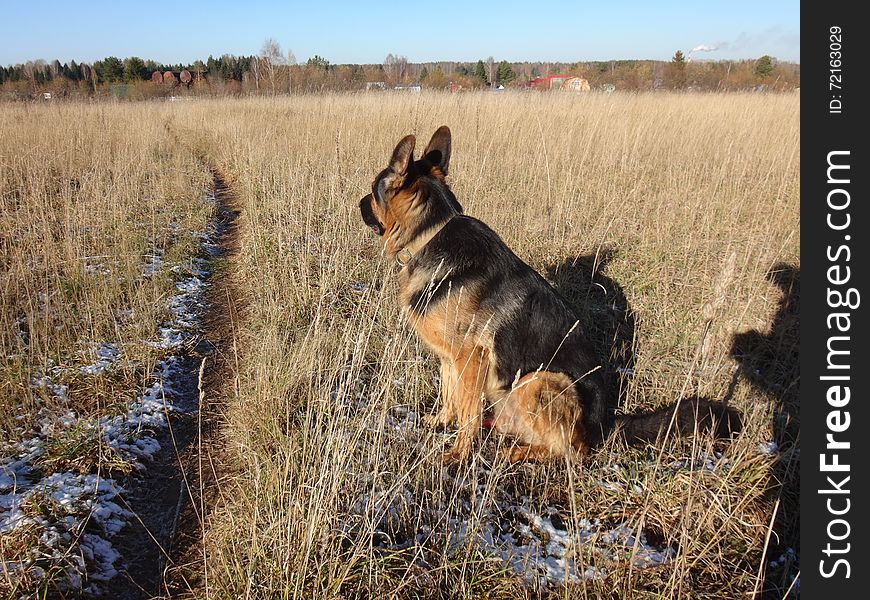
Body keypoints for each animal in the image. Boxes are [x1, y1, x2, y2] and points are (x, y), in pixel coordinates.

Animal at [358, 127, 740, 464]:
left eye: (373, 193)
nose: (359, 201)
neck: (430, 232)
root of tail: (606, 425)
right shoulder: (451, 359)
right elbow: (451, 399)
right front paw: (439, 423)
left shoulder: (471, 358)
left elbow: (467, 414)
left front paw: (458, 453)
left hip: (537, 380)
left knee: (573, 452)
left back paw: (517, 453)